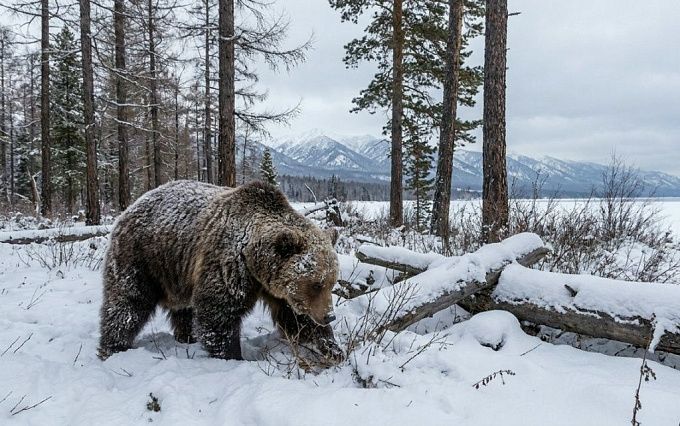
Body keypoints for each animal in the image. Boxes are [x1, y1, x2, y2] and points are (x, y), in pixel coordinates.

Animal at [98, 180, 340, 361]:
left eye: (332, 282)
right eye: (316, 284)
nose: (330, 316)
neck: (255, 263)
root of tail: (127, 210)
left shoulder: (278, 289)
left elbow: (298, 319)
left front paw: (332, 348)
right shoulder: (228, 263)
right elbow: (218, 312)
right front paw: (232, 355)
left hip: (178, 273)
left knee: (184, 309)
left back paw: (187, 337)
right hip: (142, 257)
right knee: (128, 304)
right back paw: (114, 347)